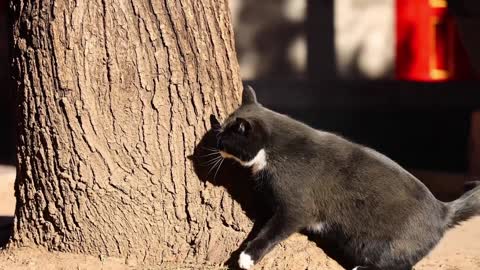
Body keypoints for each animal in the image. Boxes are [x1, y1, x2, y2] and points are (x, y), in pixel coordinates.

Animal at [211, 86, 480, 270]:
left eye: (224, 138)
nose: (215, 144)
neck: (272, 148)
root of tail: (443, 210)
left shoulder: (296, 208)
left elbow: (274, 230)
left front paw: (247, 257)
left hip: (384, 244)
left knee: (399, 265)